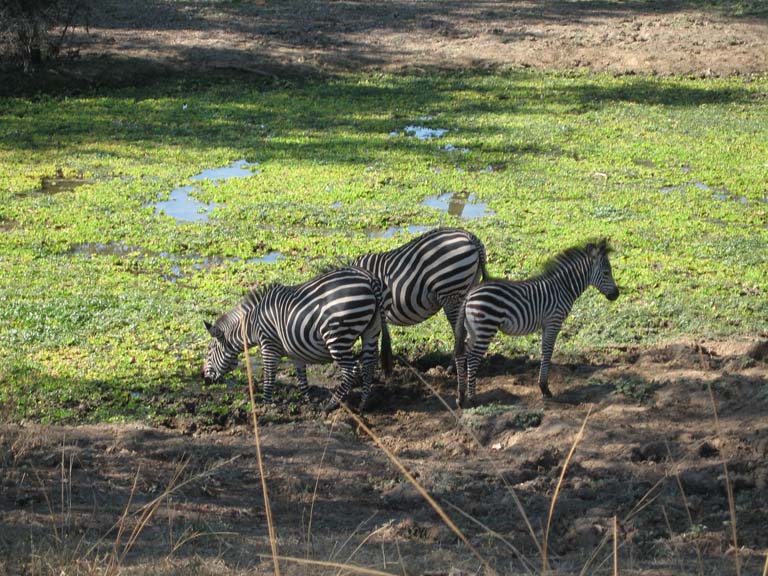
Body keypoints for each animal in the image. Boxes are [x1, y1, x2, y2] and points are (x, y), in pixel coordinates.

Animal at [204, 266, 392, 410]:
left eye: (209, 350)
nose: (204, 379)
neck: (252, 324)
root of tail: (369, 278)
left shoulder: (268, 345)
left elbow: (269, 377)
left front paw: (265, 405)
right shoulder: (295, 352)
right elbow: (301, 380)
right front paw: (309, 403)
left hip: (337, 335)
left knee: (350, 369)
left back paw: (331, 405)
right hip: (371, 330)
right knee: (368, 365)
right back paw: (363, 404)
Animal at [452, 237, 620, 404]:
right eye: (606, 272)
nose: (616, 295)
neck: (563, 288)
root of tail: (469, 295)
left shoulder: (547, 324)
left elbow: (544, 350)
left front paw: (543, 386)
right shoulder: (554, 321)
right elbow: (548, 351)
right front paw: (545, 388)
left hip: (473, 329)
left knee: (462, 353)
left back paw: (461, 396)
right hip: (485, 328)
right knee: (473, 357)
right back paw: (472, 398)